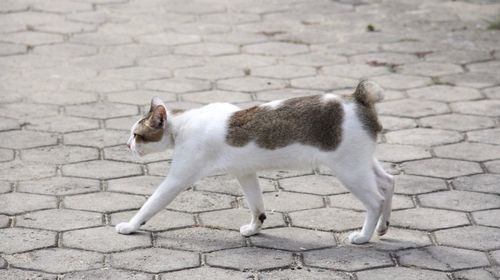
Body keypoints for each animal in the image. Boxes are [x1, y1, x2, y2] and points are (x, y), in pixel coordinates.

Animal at [116, 80, 394, 244]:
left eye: (136, 135)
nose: (127, 145)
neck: (181, 126)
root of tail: (357, 99)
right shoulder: (245, 173)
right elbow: (257, 205)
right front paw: (255, 228)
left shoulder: (177, 178)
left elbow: (150, 204)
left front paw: (130, 226)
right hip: (362, 162)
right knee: (388, 182)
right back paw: (383, 227)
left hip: (349, 170)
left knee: (375, 200)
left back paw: (364, 236)